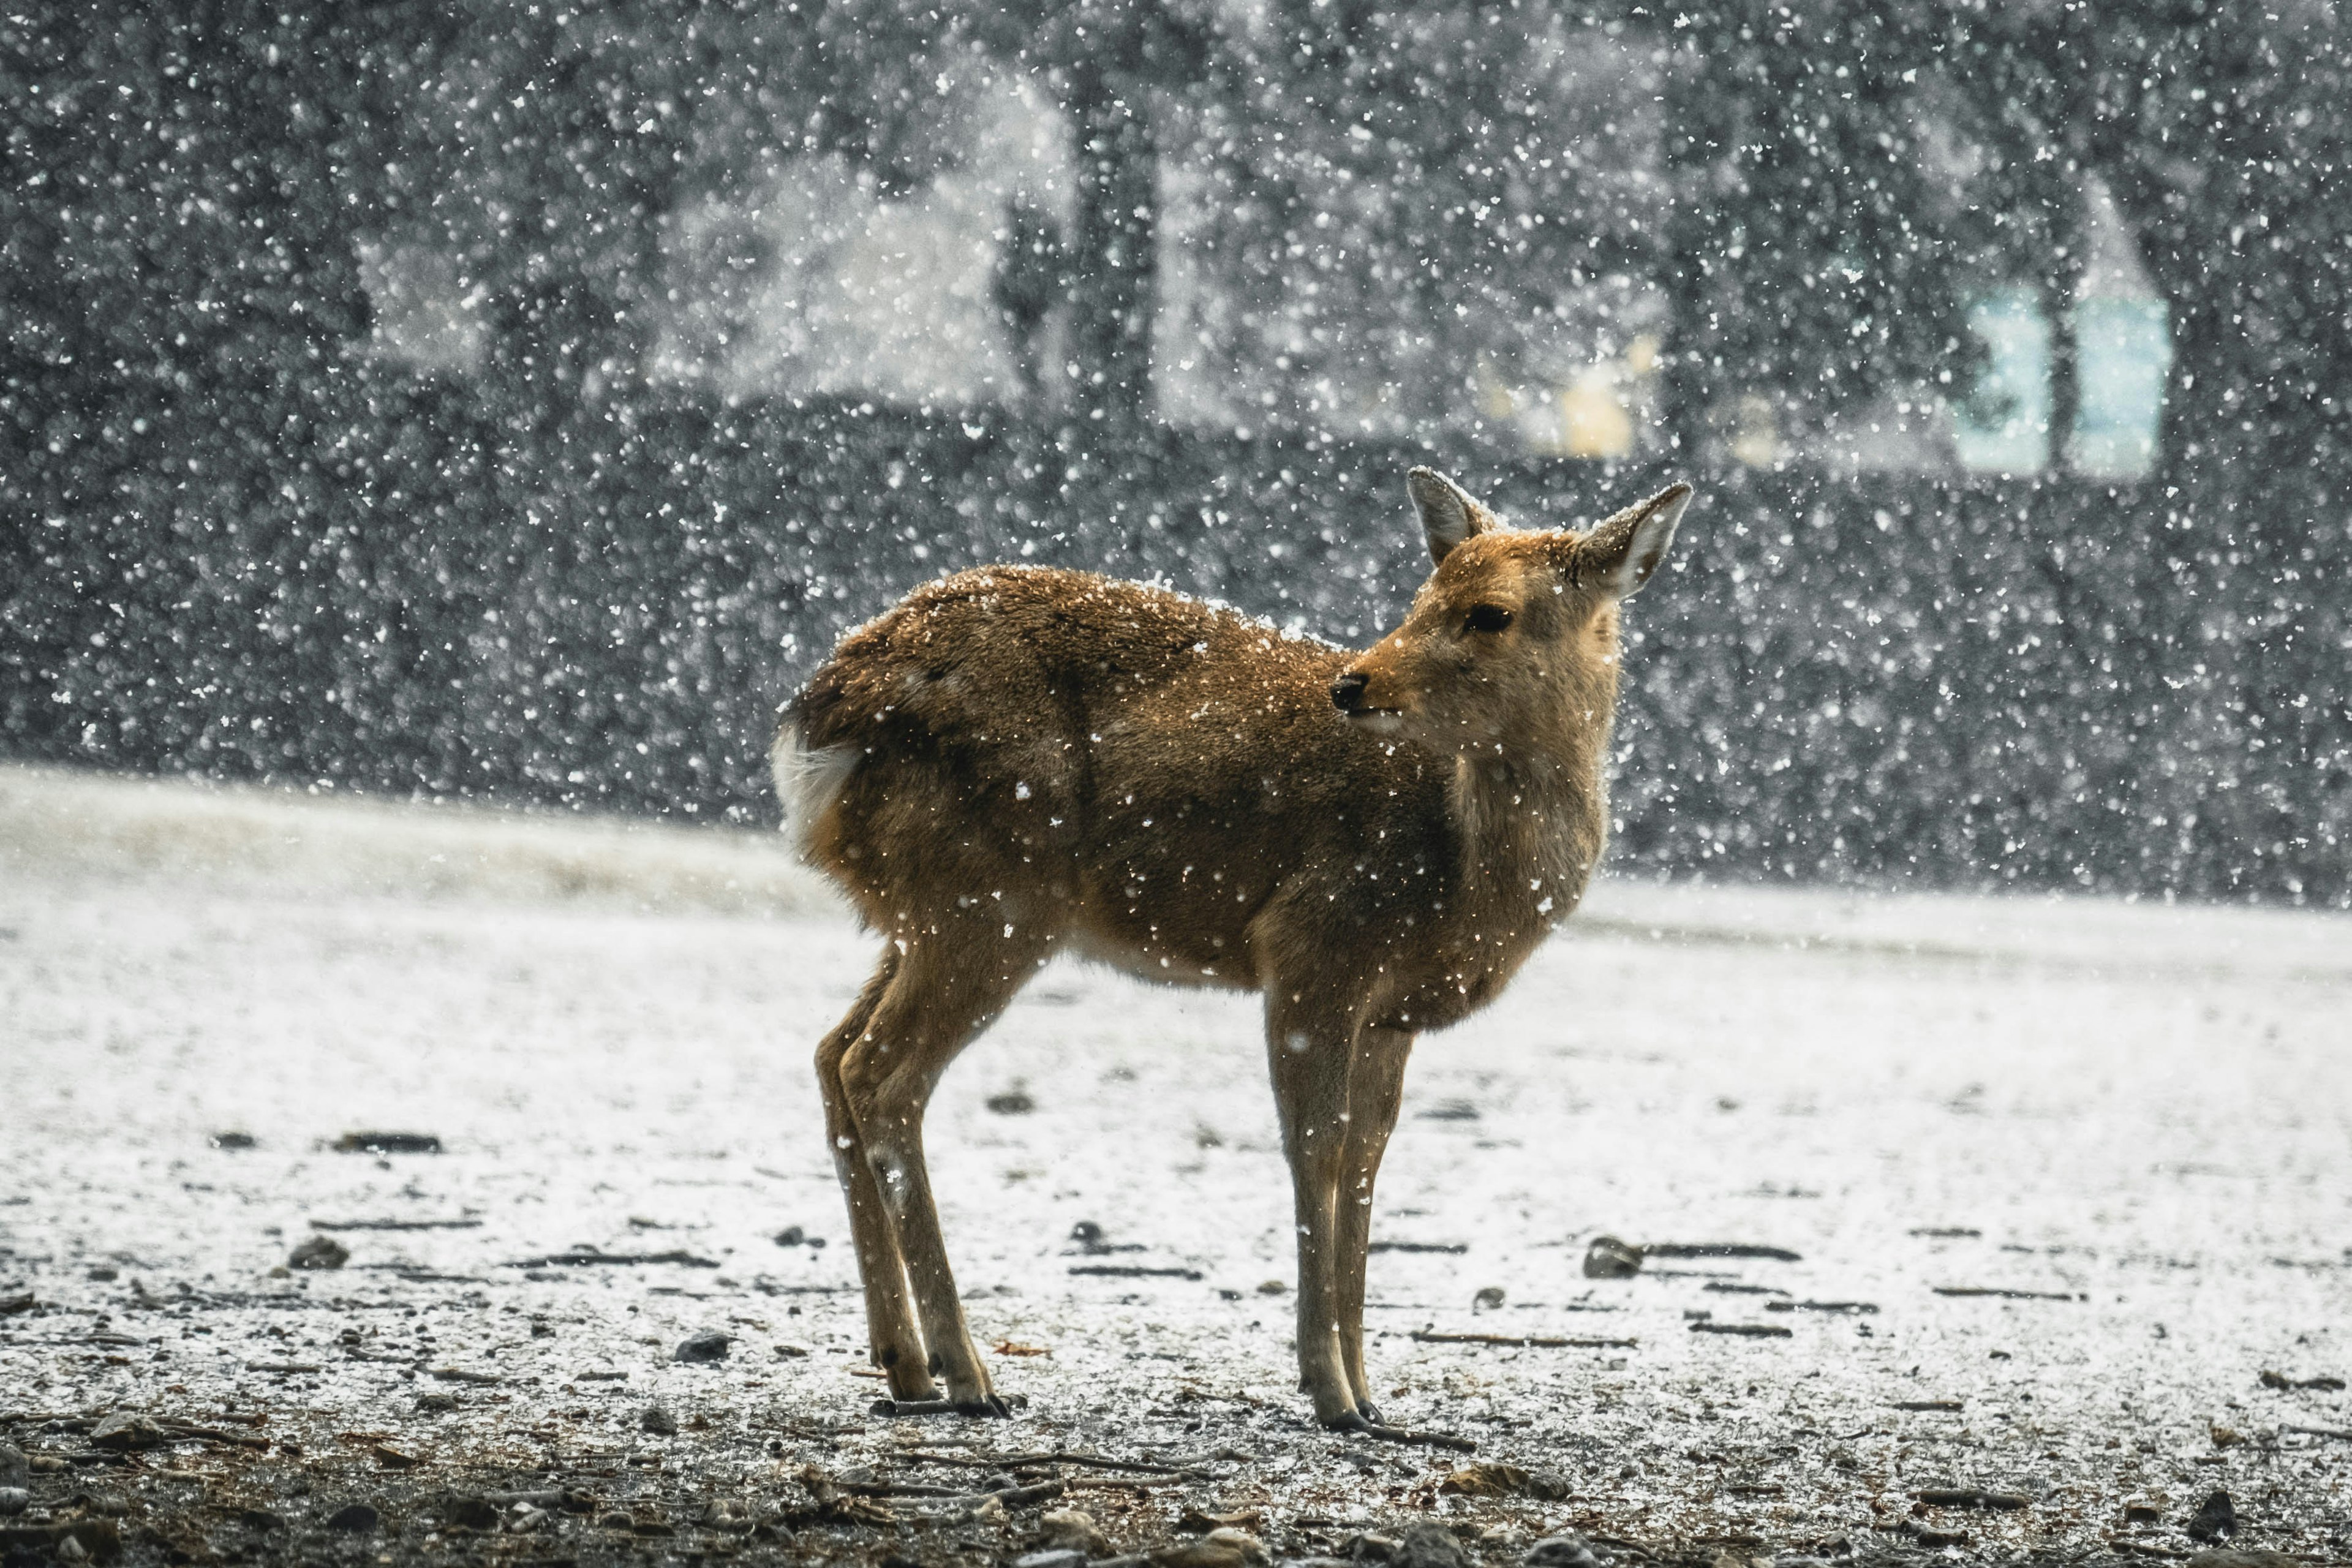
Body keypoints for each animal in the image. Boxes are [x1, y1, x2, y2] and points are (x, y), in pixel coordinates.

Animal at [776, 470, 1693, 1448]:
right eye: (1422, 597)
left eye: (1489, 613)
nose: (1352, 685)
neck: (1463, 868)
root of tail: (822, 718)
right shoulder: (1314, 944)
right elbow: (1315, 1151)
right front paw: (1331, 1392)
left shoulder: (1393, 1012)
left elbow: (1367, 1160)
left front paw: (1372, 1392)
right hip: (990, 897)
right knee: (882, 1072)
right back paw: (968, 1372)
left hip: (922, 911)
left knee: (833, 1050)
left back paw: (904, 1363)